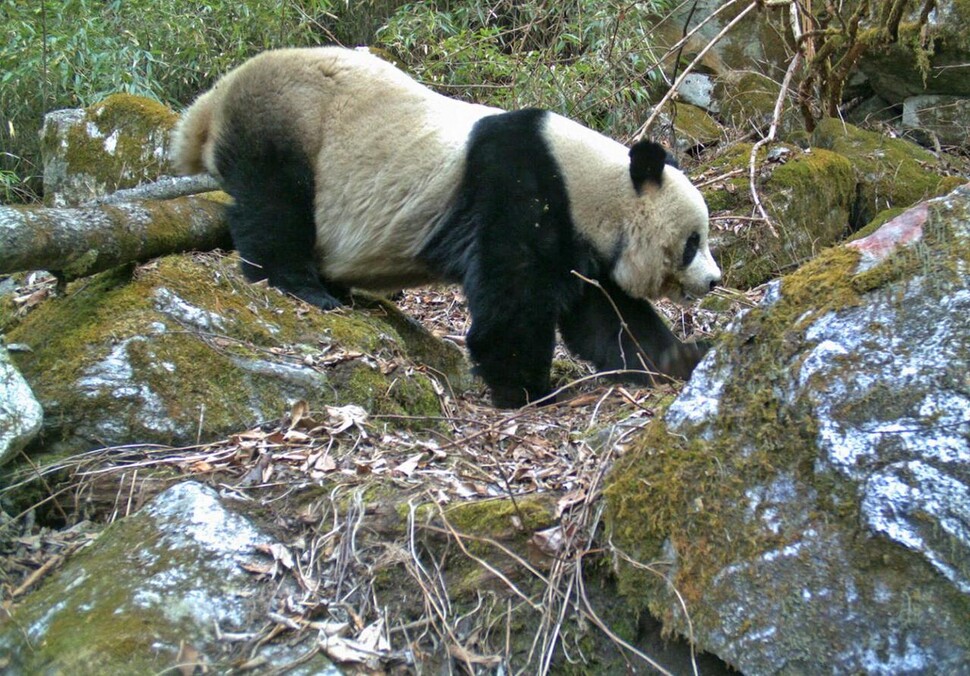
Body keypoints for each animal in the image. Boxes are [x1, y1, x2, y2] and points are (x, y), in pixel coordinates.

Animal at [172, 48, 720, 406]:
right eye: (693, 242)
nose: (715, 281)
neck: (593, 185)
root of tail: (213, 101)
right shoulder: (519, 191)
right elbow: (513, 302)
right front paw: (529, 390)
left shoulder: (582, 240)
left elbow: (608, 318)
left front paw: (682, 359)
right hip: (288, 121)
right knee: (274, 204)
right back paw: (303, 286)